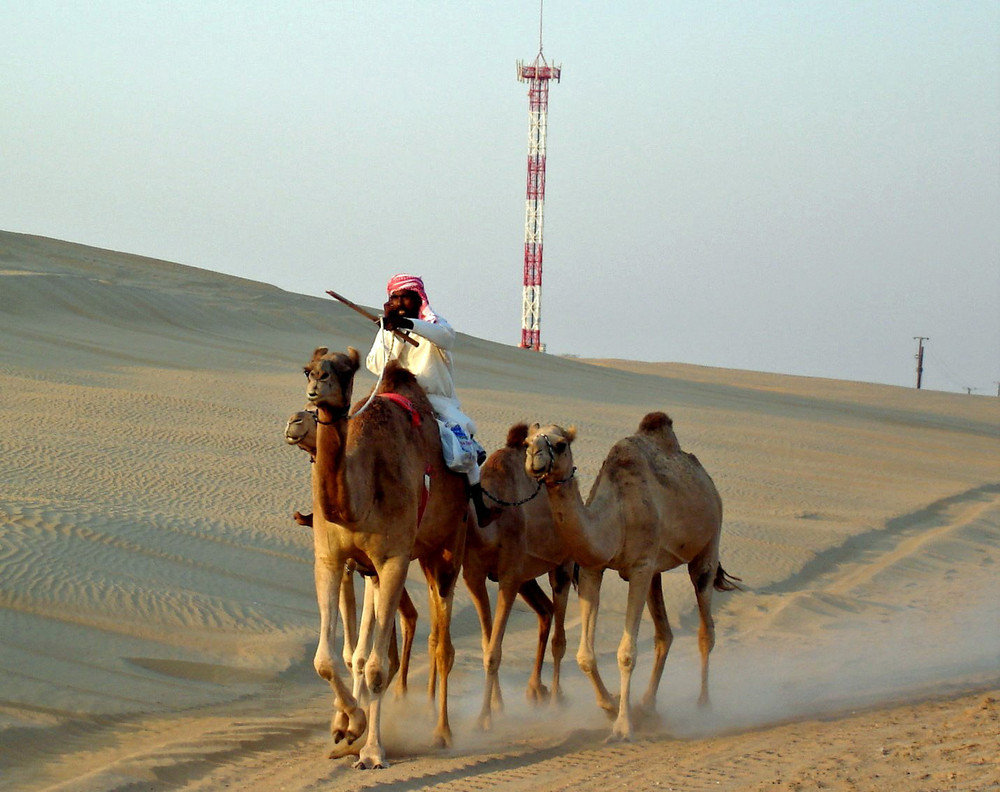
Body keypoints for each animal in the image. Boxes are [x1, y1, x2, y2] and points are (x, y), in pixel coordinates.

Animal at [302, 346, 470, 768]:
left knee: (442, 645)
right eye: (308, 369)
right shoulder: (331, 559)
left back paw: (441, 733)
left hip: (447, 550)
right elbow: (328, 659)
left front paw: (372, 750)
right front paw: (348, 728)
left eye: (346, 371)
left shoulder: (393, 559)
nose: (317, 386)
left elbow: (378, 666)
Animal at [460, 424, 572, 732]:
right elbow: (488, 644)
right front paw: (497, 708)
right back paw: (536, 689)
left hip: (562, 565)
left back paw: (556, 699)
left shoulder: (509, 576)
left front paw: (483, 718)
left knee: (559, 632)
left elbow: (494, 652)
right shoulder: (474, 576)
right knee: (545, 611)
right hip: (527, 577)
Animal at [528, 414, 740, 744]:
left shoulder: (640, 567)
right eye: (527, 441)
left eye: (561, 444)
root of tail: (707, 482)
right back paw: (647, 705)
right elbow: (585, 655)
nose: (534, 458)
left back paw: (703, 707)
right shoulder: (593, 568)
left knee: (706, 629)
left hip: (707, 547)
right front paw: (611, 705)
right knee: (664, 634)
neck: (616, 515)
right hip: (656, 572)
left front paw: (622, 727)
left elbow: (627, 653)